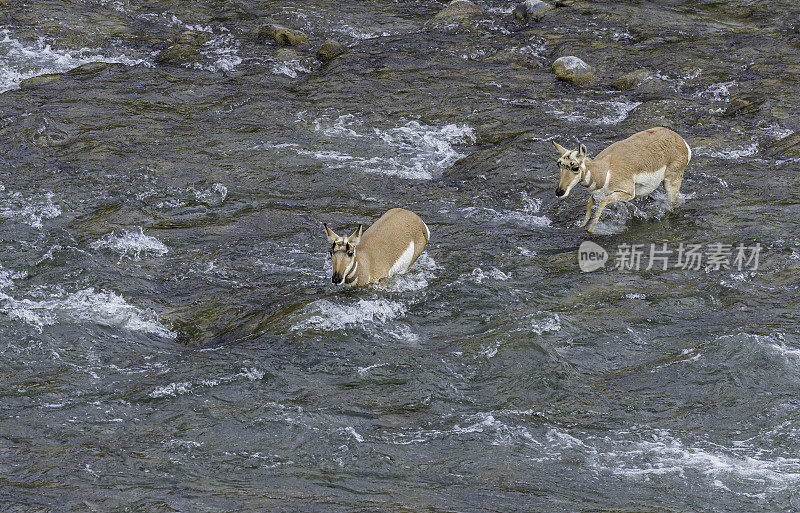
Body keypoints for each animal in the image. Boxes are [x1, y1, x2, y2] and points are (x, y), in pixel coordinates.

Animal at [552, 127, 692, 233]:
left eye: (575, 167)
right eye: (559, 164)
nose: (559, 192)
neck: (604, 170)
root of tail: (680, 140)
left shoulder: (628, 193)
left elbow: (602, 202)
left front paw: (591, 230)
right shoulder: (597, 193)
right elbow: (589, 203)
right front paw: (582, 226)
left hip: (672, 182)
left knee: (673, 203)